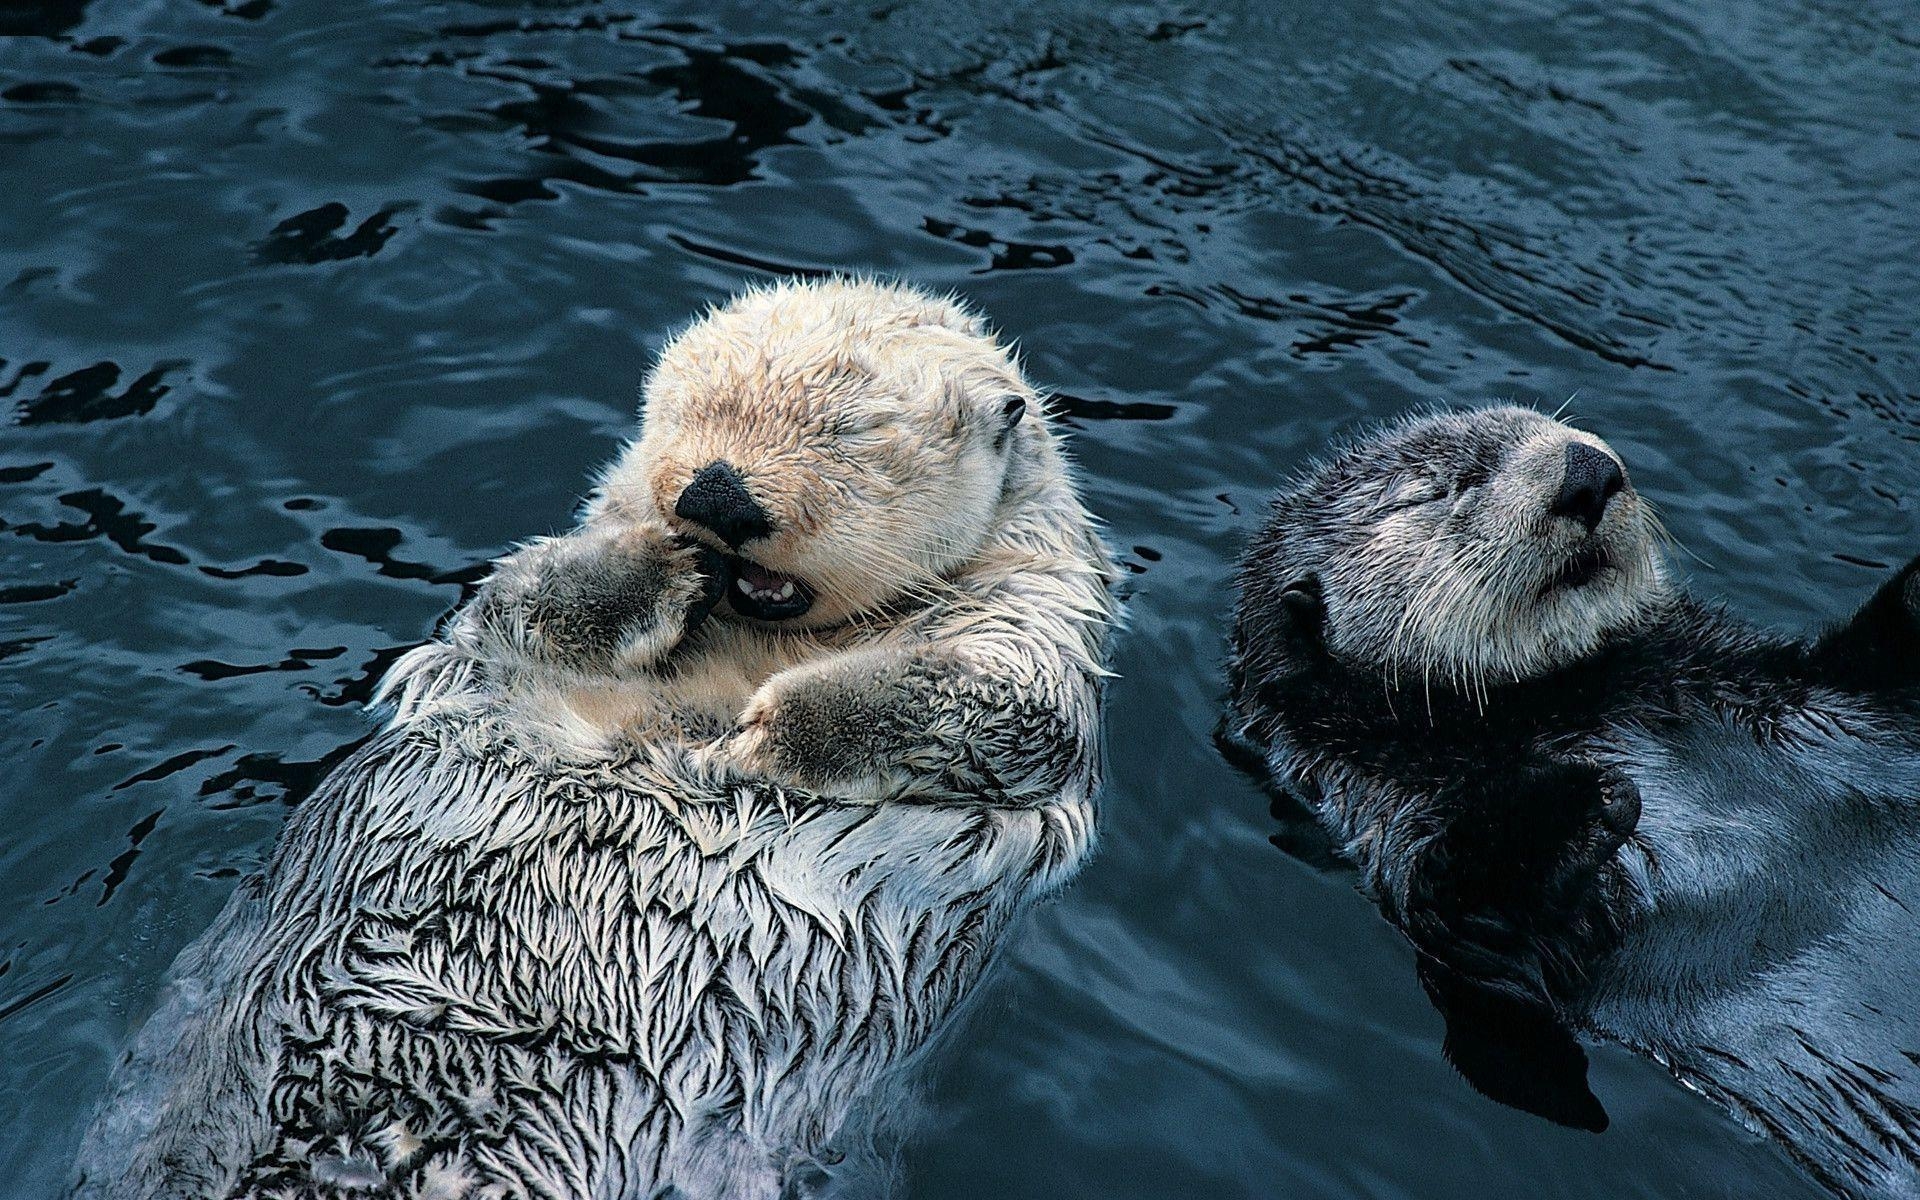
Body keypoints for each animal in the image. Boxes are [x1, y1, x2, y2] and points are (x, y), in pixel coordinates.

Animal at [74, 278, 1121, 1198]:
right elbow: (525, 600)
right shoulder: (505, 631)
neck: (758, 642)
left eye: (852, 432)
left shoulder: (1036, 626)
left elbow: (1002, 709)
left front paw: (756, 738)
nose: (716, 498)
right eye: (689, 407)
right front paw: (662, 566)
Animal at [1221, 405, 1920, 1198]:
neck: (1569, 701)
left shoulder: (1808, 691)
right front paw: (1585, 798)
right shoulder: (1394, 819)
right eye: (1437, 490)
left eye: (1547, 423)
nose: (1587, 471)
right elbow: (1472, 911)